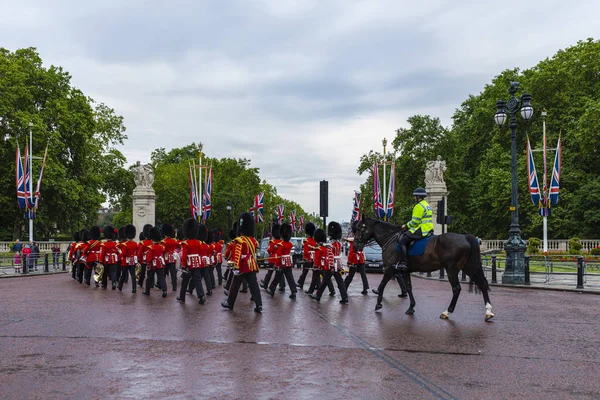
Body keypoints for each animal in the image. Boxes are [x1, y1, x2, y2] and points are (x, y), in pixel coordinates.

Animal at [352, 217, 492, 320]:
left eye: (359, 229)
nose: (355, 246)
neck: (391, 238)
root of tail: (465, 237)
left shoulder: (390, 268)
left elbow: (382, 284)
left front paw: (378, 304)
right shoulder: (405, 270)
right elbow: (408, 287)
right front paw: (411, 308)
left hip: (452, 269)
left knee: (457, 289)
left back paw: (447, 312)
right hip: (468, 267)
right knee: (482, 284)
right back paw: (488, 311)